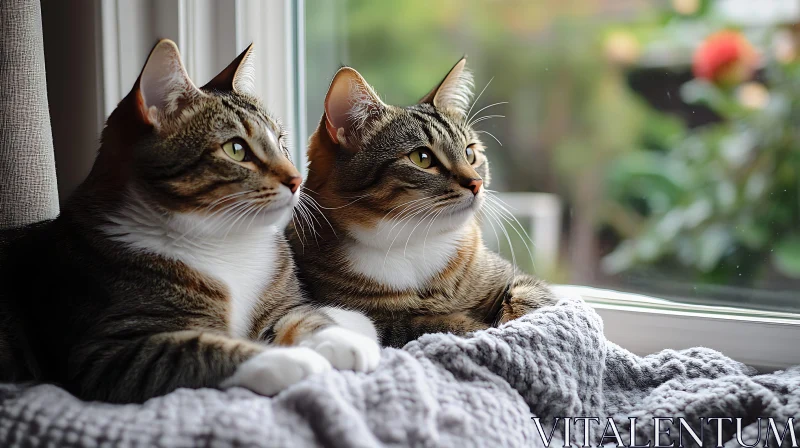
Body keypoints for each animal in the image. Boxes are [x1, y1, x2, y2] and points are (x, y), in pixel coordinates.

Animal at [0, 39, 380, 402]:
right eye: (236, 149)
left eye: (280, 141)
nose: (297, 179)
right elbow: (197, 349)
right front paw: (291, 359)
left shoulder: (278, 301)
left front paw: (344, 339)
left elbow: (305, 316)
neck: (224, 241)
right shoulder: (104, 349)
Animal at [290, 57, 556, 348]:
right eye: (422, 158)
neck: (416, 241)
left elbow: (531, 298)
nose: (477, 183)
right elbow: (429, 323)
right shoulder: (381, 319)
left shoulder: (517, 279)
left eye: (470, 153)